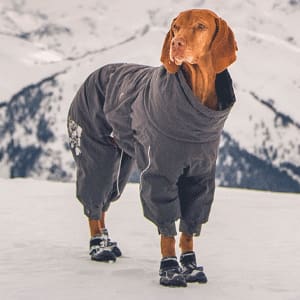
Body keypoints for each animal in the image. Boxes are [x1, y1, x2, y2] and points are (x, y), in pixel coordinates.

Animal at [67, 8, 237, 288]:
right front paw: (170, 270)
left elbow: (189, 228)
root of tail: (94, 73)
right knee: (94, 198)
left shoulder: (200, 177)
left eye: (200, 26)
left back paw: (107, 242)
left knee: (104, 202)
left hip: (121, 165)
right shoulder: (159, 173)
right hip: (96, 150)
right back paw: (99, 248)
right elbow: (166, 227)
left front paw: (190, 267)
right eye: (176, 27)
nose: (175, 44)